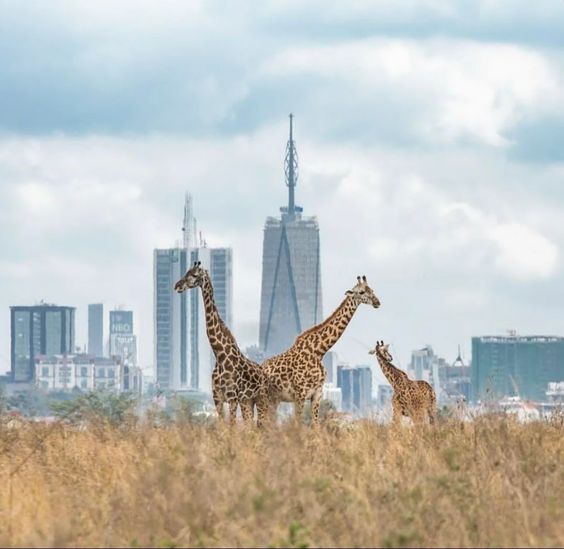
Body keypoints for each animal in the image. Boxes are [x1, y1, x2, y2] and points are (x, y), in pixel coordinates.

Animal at [174, 262, 262, 424]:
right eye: (186, 271)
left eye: (194, 275)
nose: (177, 286)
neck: (220, 355)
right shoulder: (218, 398)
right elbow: (221, 426)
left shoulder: (232, 397)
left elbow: (232, 426)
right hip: (247, 401)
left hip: (260, 400)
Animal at [258, 276, 382, 426]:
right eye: (362, 292)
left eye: (372, 290)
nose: (377, 302)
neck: (319, 352)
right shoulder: (300, 394)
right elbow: (297, 424)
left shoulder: (317, 393)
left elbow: (315, 425)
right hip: (264, 398)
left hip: (274, 400)